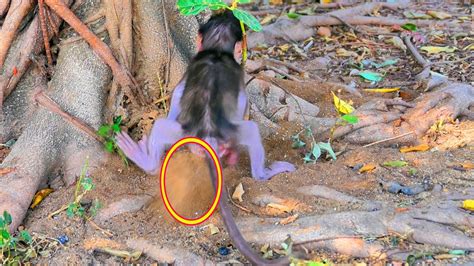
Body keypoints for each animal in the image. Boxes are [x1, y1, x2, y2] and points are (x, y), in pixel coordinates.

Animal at [116, 10, 294, 264]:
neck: (217, 50)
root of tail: (208, 138)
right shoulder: (238, 75)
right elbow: (241, 102)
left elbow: (177, 97)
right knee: (251, 130)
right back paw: (264, 173)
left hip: (183, 133)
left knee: (161, 125)